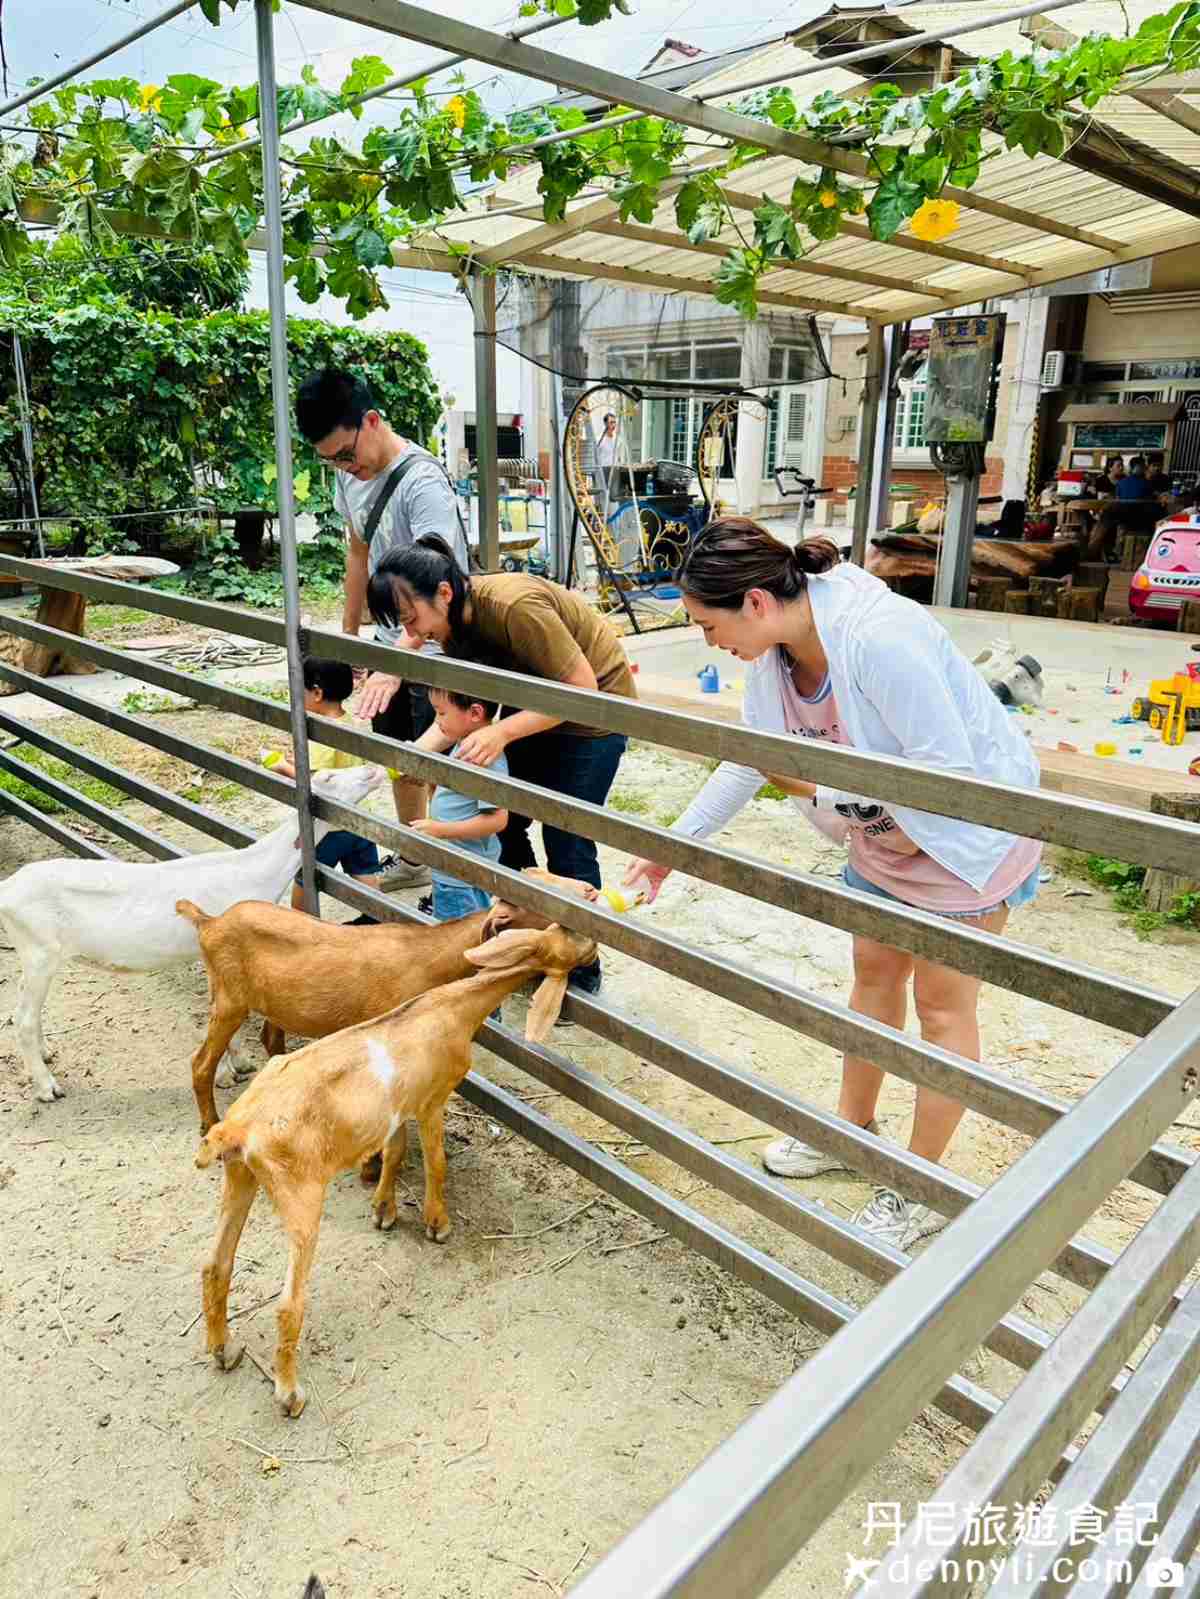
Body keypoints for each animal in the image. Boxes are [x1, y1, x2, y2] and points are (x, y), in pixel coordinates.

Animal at [0, 761, 385, 1100]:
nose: (374, 769)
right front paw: (232, 1069)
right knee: (23, 1018)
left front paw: (238, 1063)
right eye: (329, 777)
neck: (256, 869)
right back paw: (47, 1088)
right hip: (39, 951)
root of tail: (8, 888)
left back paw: (47, 1052)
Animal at [177, 869, 598, 1132]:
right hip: (230, 999)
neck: (430, 959)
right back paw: (209, 1123)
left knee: (270, 1041)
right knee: (200, 1063)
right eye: (535, 906)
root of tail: (209, 922)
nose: (590, 891)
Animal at [193, 921, 601, 1419]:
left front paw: (383, 1210)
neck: (451, 1008)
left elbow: (393, 1153)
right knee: (288, 1304)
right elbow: (436, 1161)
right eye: (570, 937)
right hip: (300, 1192)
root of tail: (236, 1130)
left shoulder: (396, 1108)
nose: (594, 947)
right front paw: (437, 1224)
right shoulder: (432, 1099)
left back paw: (224, 1350)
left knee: (215, 1265)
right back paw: (289, 1394)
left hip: (241, 1176)